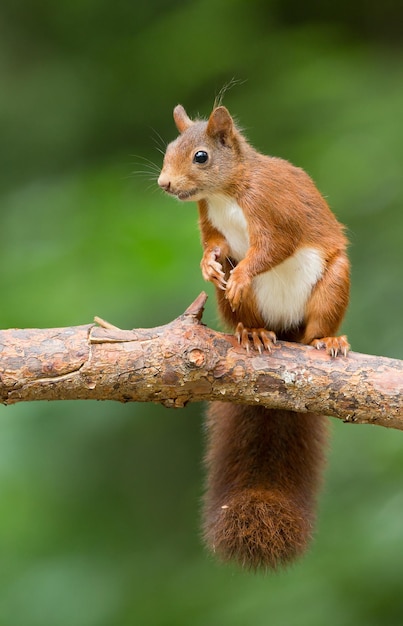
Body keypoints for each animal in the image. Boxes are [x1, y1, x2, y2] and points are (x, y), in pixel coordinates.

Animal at [158, 103, 350, 572]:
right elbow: (213, 243)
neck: (226, 194)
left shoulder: (274, 208)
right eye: (170, 148)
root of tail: (286, 329)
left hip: (333, 284)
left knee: (318, 324)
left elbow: (274, 247)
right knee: (245, 313)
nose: (165, 184)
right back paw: (253, 332)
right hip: (240, 309)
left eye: (202, 156)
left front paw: (245, 271)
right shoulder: (208, 217)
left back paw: (326, 341)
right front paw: (209, 265)